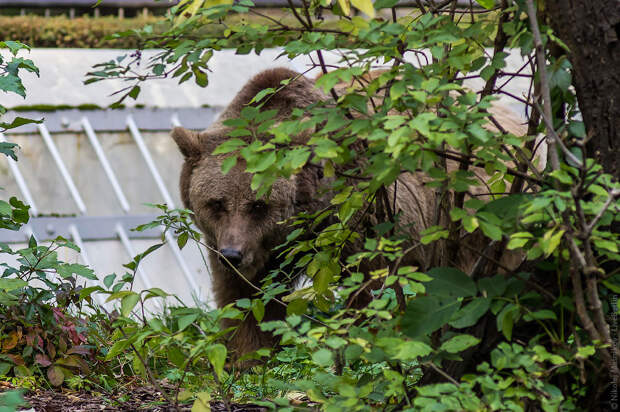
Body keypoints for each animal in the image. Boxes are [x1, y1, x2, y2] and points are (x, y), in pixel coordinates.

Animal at [172, 67, 536, 358]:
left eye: (259, 205)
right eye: (216, 203)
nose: (233, 255)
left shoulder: (362, 217)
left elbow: (368, 289)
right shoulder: (232, 243)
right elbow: (246, 300)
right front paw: (249, 356)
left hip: (478, 212)